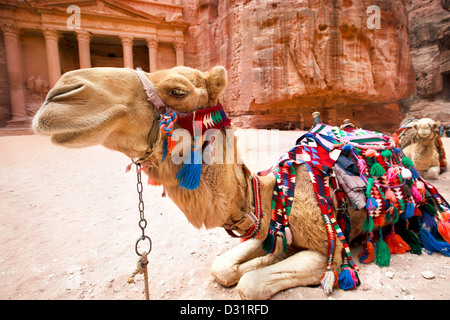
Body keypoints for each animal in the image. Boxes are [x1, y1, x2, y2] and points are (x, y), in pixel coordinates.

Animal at [31, 65, 370, 300]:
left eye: (178, 91)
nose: (60, 93)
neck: (272, 195)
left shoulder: (329, 252)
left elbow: (249, 284)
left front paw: (262, 265)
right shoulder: (264, 231)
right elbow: (224, 268)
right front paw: (263, 259)